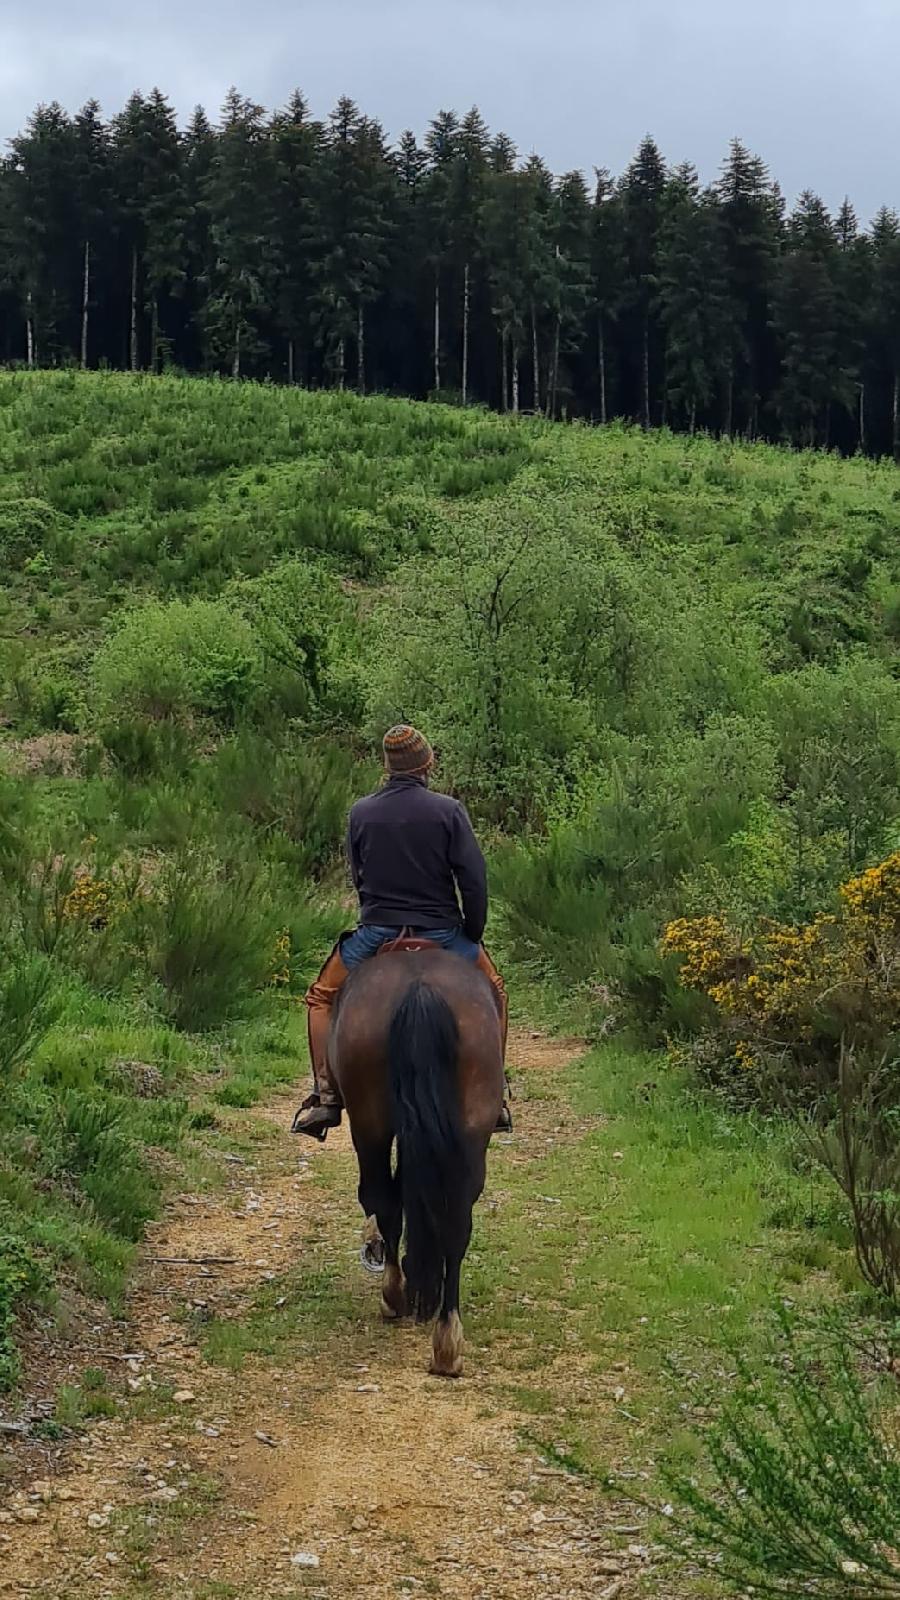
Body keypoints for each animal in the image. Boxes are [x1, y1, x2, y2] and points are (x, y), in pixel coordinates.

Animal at [328, 947, 499, 1376]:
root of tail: (420, 989)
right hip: (471, 1130)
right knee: (455, 1221)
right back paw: (447, 1341)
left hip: (369, 1125)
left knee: (383, 1199)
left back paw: (395, 1295)